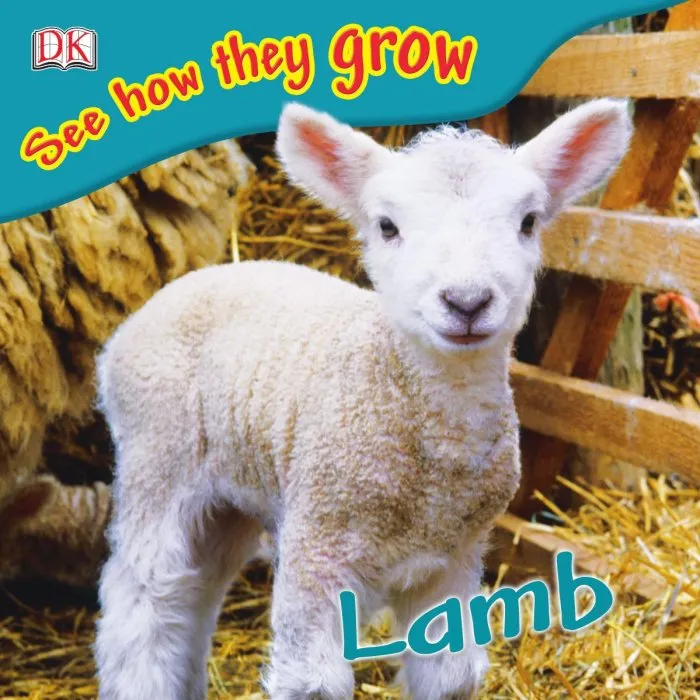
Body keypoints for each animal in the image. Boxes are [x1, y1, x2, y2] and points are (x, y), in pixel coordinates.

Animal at [94, 99, 632, 700]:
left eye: (529, 222)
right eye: (387, 226)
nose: (467, 301)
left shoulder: (454, 555)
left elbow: (450, 675)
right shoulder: (317, 544)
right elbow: (312, 684)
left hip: (228, 494)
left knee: (196, 595)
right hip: (157, 455)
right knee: (143, 599)